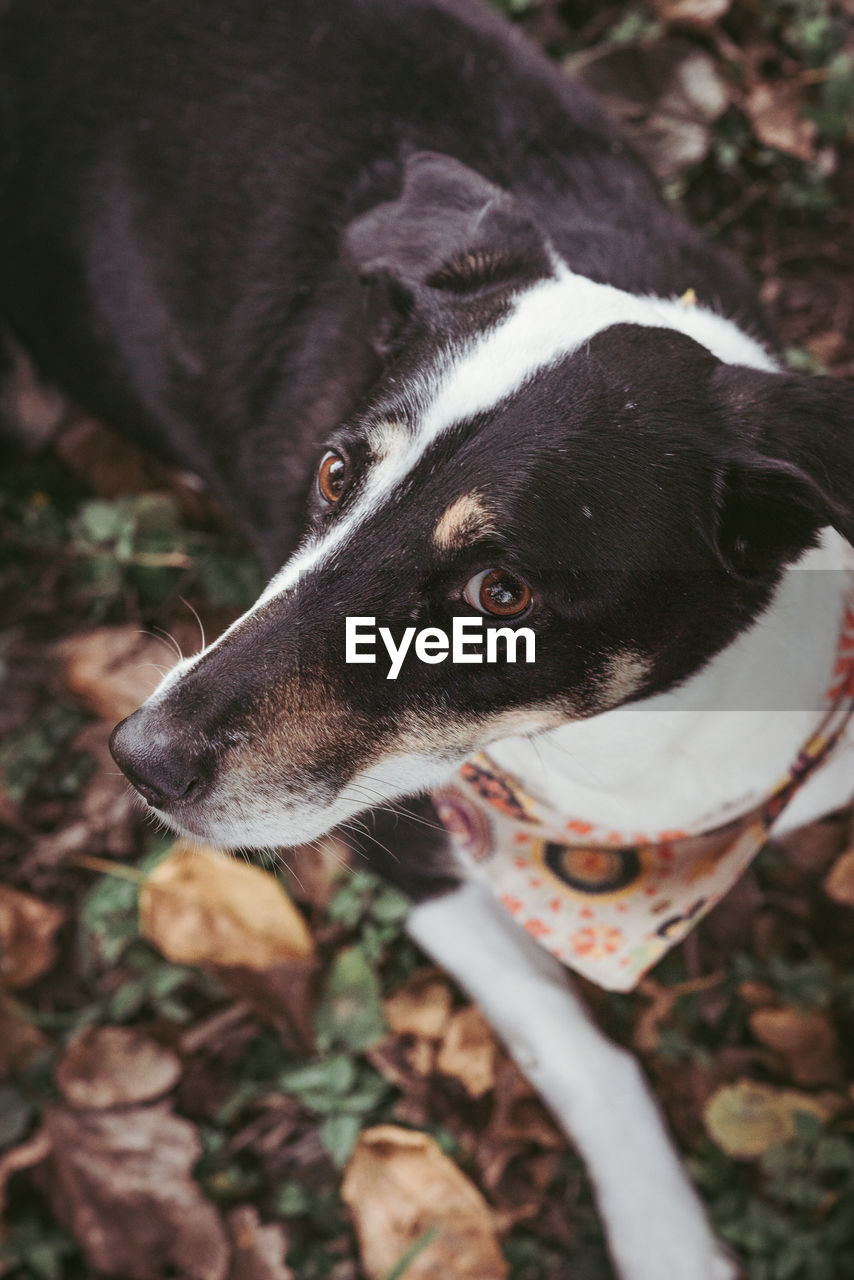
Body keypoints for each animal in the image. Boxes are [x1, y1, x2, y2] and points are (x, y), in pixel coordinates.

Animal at [1, 2, 854, 1280]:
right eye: (332, 472)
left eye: (499, 591)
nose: (139, 757)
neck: (640, 749)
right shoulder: (413, 844)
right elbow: (585, 1051)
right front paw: (668, 1241)